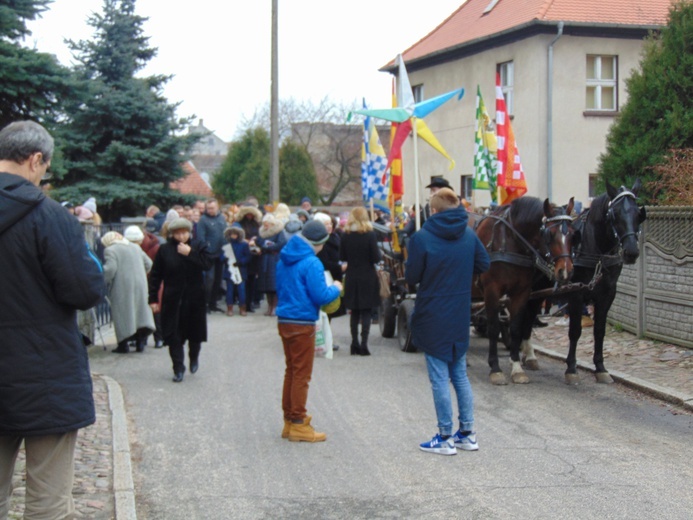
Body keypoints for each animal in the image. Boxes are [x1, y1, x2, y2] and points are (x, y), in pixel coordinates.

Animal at [474, 197, 576, 384]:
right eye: (550, 234)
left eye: (574, 234)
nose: (565, 271)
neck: (510, 240)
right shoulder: (492, 290)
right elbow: (493, 328)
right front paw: (495, 368)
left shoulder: (521, 292)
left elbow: (516, 327)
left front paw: (516, 368)